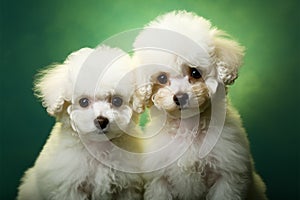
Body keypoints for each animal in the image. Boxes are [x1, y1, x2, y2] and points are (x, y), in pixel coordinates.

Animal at [17, 45, 144, 200]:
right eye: (83, 102)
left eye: (117, 101)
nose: (101, 120)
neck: (98, 148)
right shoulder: (69, 187)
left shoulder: (127, 186)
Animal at [134, 10, 268, 200]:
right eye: (162, 78)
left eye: (195, 72)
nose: (180, 97)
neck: (189, 127)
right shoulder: (159, 179)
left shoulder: (227, 175)